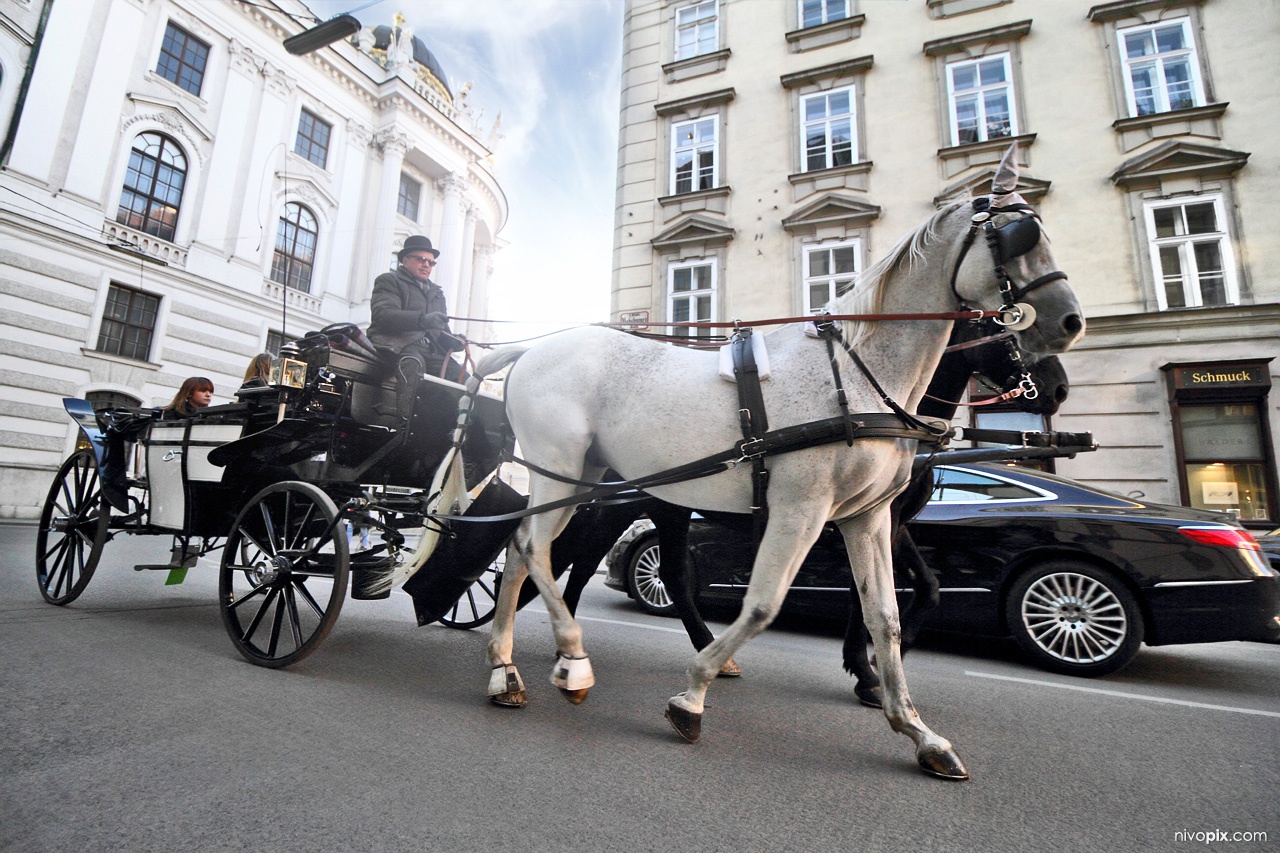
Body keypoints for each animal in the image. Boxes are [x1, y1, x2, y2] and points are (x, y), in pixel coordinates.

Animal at [468, 153, 1080, 778]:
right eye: (1017, 235)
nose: (1070, 325)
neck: (856, 375)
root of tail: (532, 347)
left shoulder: (868, 518)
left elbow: (883, 615)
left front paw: (917, 729)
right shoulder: (801, 509)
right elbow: (763, 604)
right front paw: (692, 696)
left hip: (589, 481)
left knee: (526, 551)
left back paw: (507, 669)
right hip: (559, 468)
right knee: (535, 549)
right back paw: (571, 657)